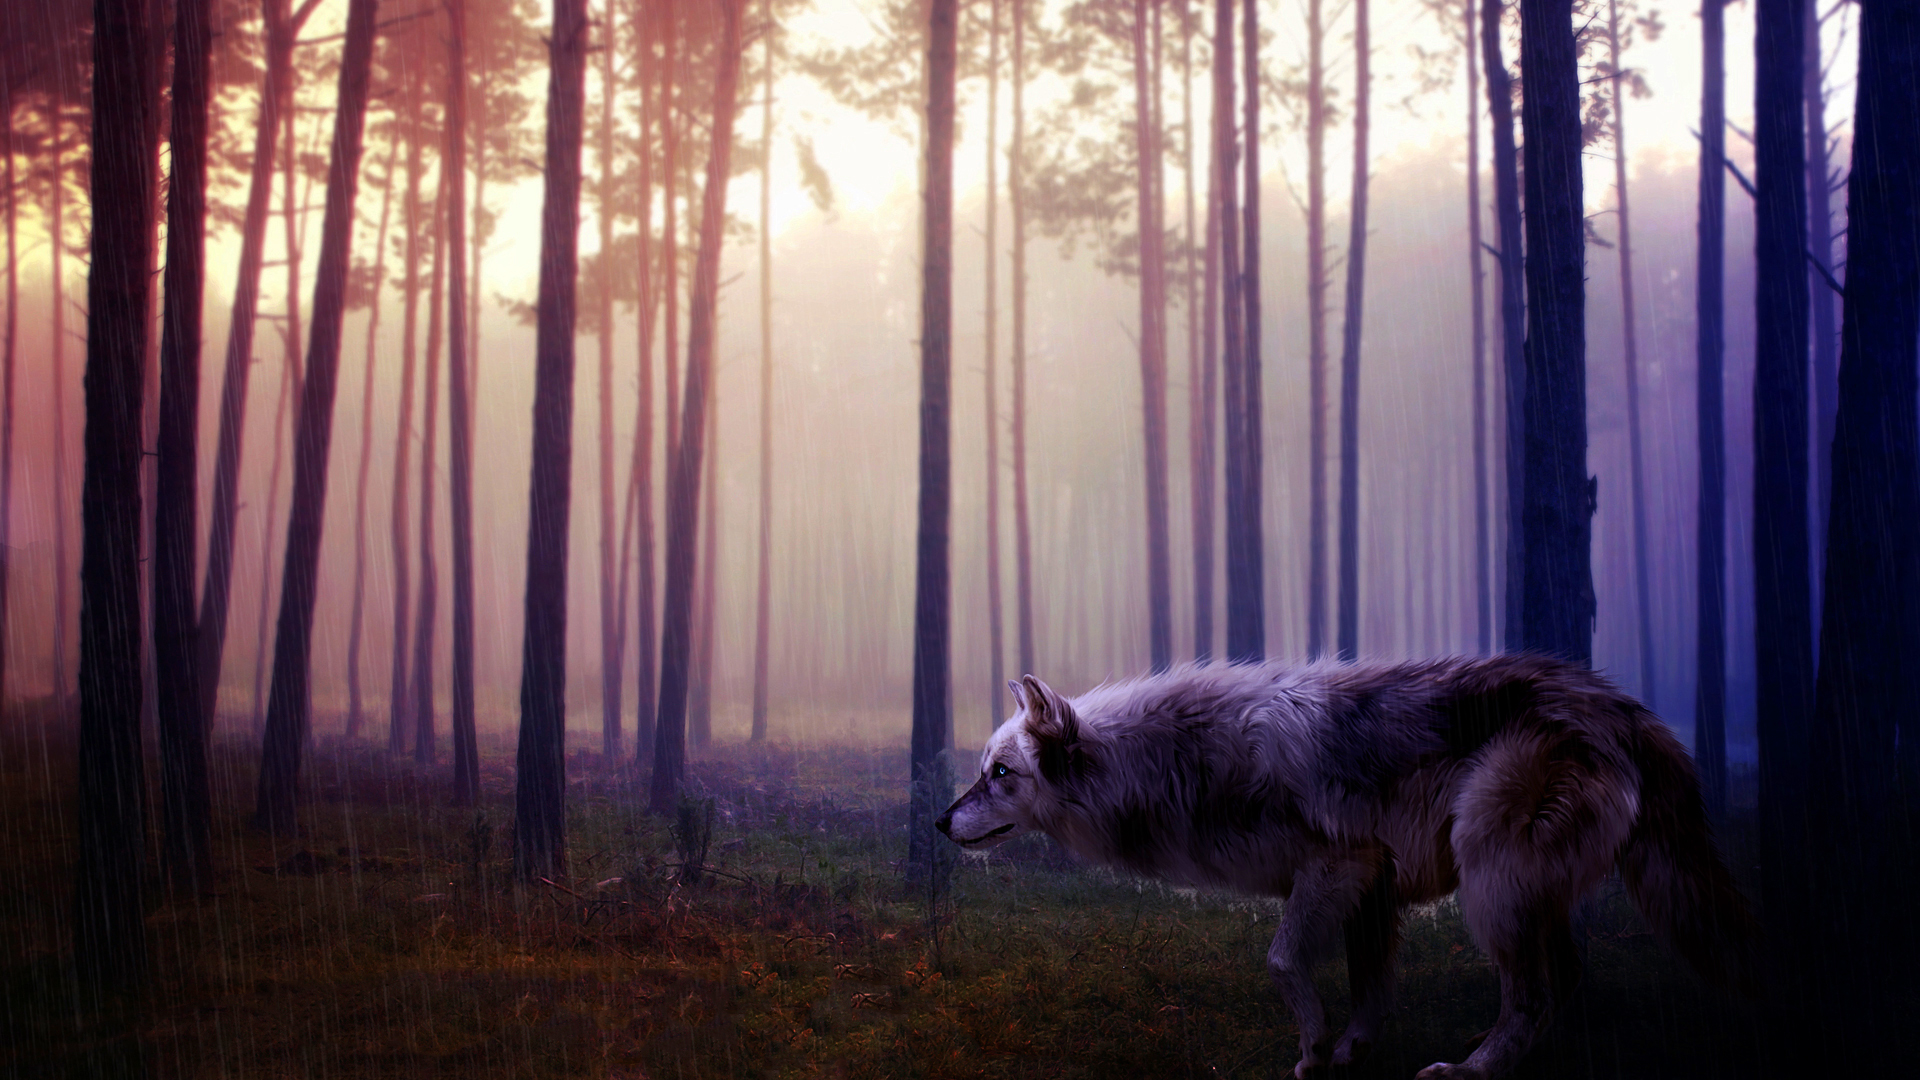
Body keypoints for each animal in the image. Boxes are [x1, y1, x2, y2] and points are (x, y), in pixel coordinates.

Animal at [937, 655, 1757, 1079]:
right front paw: (1353, 1049)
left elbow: (1280, 961)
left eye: (1000, 775)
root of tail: (1622, 708)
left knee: (1531, 993)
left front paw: (1311, 1047)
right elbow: (1370, 985)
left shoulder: (1341, 865)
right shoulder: (1374, 886)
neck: (1180, 762)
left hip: (1491, 884)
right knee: (1563, 978)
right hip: (1521, 892)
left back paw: (1471, 1073)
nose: (941, 822)